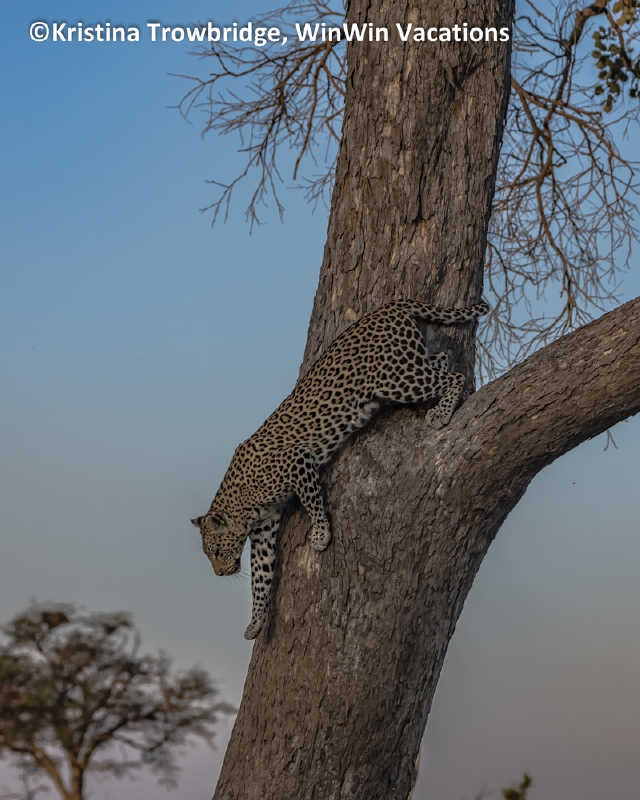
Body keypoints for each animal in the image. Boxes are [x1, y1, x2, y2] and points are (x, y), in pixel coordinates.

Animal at [191, 299, 488, 640]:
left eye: (215, 550)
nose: (219, 573)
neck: (243, 504)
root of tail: (385, 308)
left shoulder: (297, 461)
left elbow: (312, 502)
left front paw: (321, 535)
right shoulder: (265, 528)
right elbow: (260, 575)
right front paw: (255, 622)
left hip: (397, 379)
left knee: (453, 377)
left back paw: (440, 412)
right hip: (406, 368)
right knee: (440, 358)